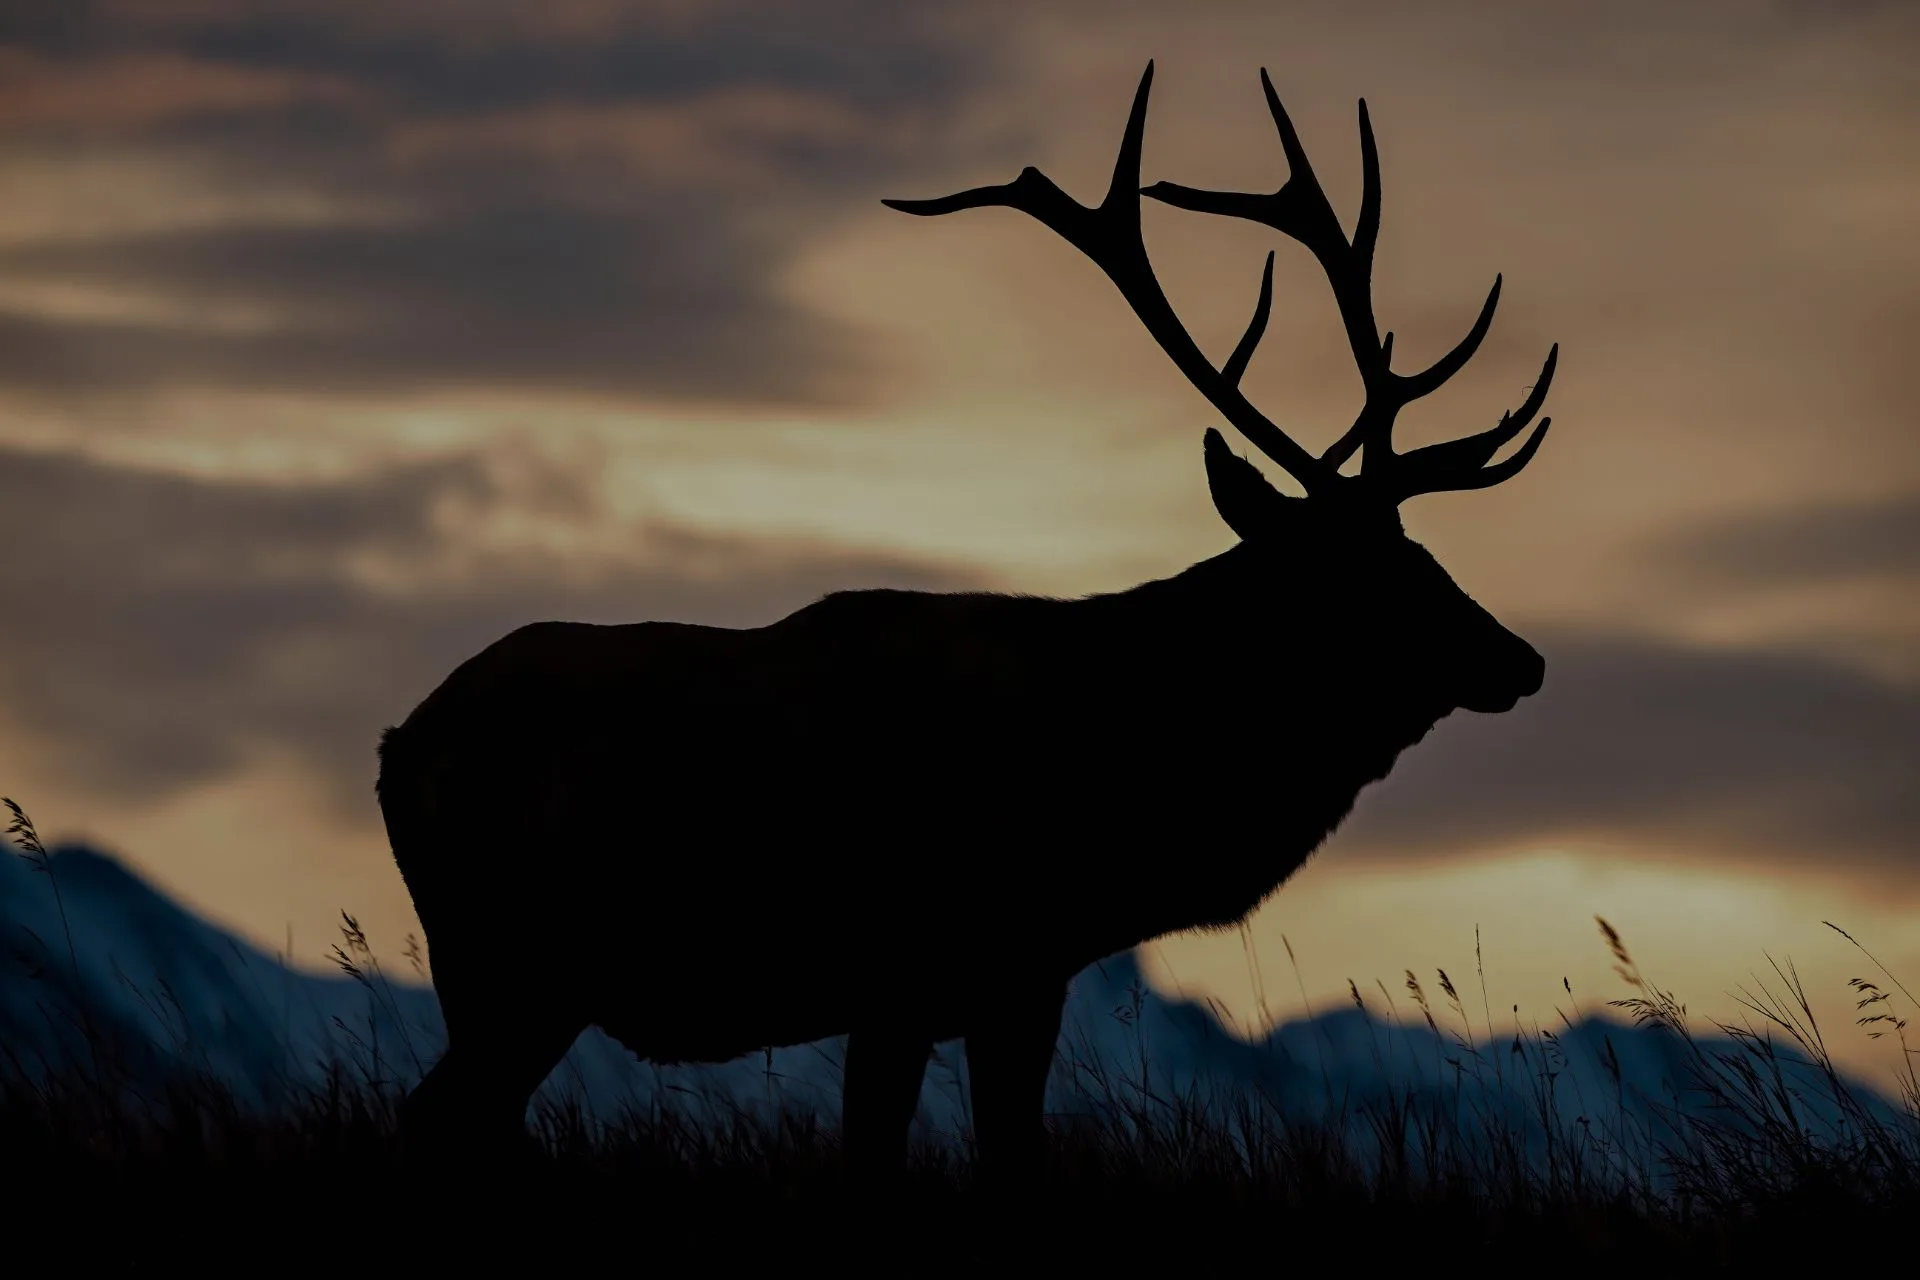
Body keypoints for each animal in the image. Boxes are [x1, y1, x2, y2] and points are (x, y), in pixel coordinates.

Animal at [375, 62, 1558, 1184]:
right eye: (1370, 571)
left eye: (1424, 550)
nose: (1521, 657)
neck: (1134, 807)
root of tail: (398, 746)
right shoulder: (940, 972)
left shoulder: (999, 980)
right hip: (515, 959)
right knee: (437, 1116)